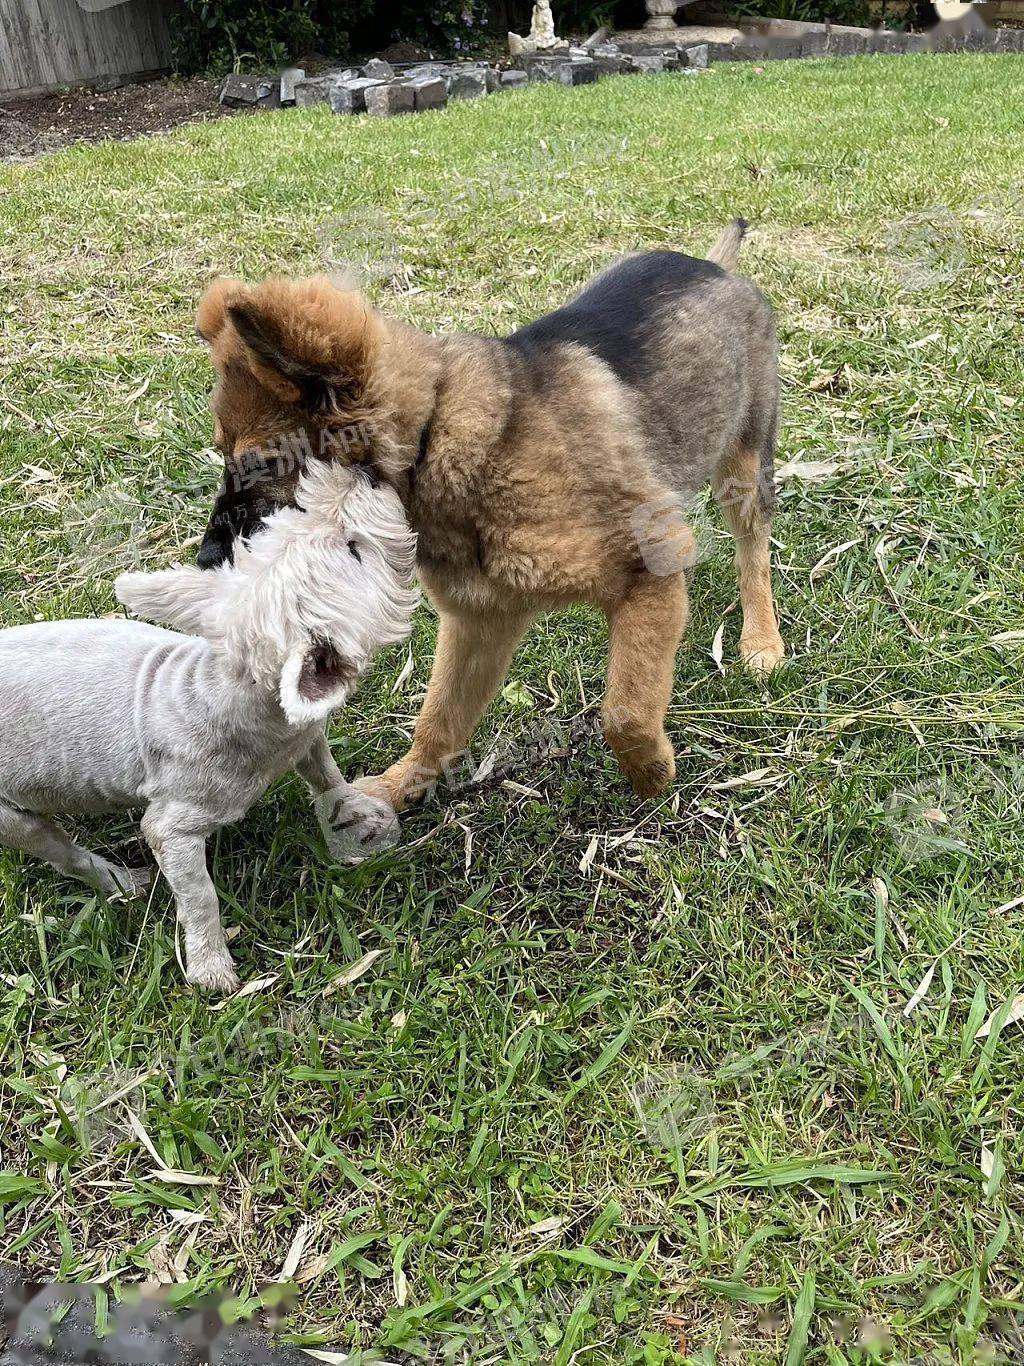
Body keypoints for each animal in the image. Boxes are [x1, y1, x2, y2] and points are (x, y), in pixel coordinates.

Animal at [0, 461, 417, 994]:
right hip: (11, 819)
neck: (234, 688)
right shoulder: (174, 824)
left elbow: (326, 774)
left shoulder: (304, 738)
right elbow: (199, 893)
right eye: (355, 549)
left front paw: (356, 810)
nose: (364, 475)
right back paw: (121, 881)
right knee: (58, 850)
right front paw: (210, 965)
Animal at [192, 218, 786, 803]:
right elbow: (438, 721)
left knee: (753, 552)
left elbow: (625, 709)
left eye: (261, 464)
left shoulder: (649, 570)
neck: (435, 438)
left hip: (743, 469)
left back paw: (761, 640)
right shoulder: (480, 621)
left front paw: (651, 774)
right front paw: (397, 789)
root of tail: (713, 266)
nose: (204, 559)